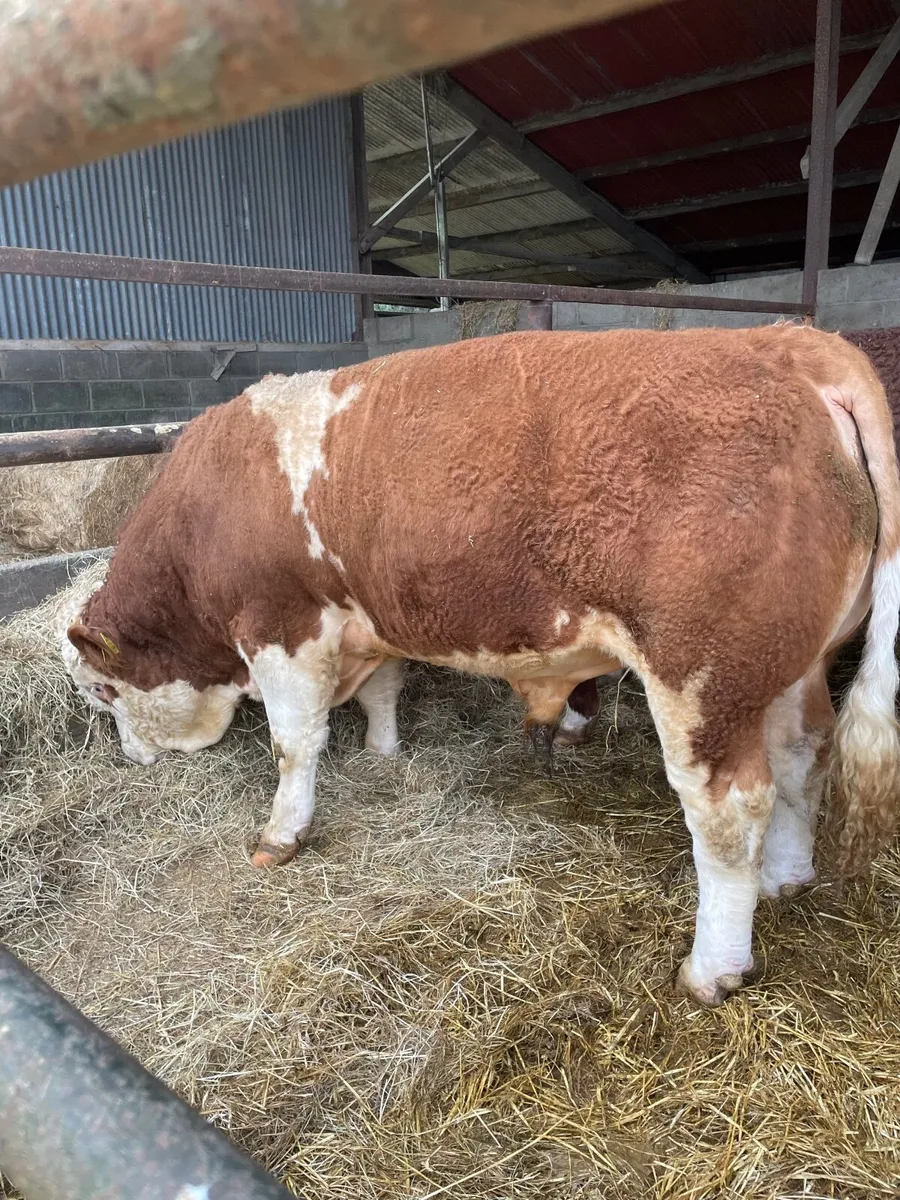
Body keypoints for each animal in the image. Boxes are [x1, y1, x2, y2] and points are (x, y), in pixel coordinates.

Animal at [62, 325, 900, 1006]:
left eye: (103, 692)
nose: (132, 760)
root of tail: (786, 341)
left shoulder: (280, 627)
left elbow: (293, 745)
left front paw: (282, 833)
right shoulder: (370, 619)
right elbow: (384, 692)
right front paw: (384, 750)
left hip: (702, 678)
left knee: (732, 809)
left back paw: (712, 967)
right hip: (791, 666)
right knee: (802, 755)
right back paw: (784, 877)